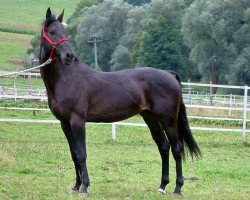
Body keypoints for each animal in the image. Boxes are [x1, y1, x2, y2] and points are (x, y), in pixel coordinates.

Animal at [39, 7, 201, 197]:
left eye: (65, 32)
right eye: (52, 32)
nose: (69, 56)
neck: (68, 78)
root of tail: (169, 74)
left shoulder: (77, 121)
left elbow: (81, 153)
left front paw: (84, 187)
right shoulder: (65, 123)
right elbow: (73, 154)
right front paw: (76, 186)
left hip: (168, 120)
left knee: (176, 148)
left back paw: (177, 188)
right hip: (151, 118)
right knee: (163, 146)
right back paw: (162, 186)